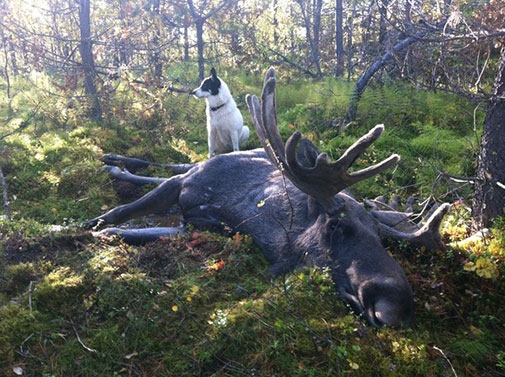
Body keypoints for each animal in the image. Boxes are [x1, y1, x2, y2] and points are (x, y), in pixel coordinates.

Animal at [84, 67, 450, 326]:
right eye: (336, 226)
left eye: (379, 235)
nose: (396, 307)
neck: (246, 215)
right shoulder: (188, 183)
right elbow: (121, 211)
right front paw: (89, 224)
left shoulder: (198, 226)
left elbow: (131, 231)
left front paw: (104, 230)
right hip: (199, 165)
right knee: (170, 165)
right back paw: (113, 162)